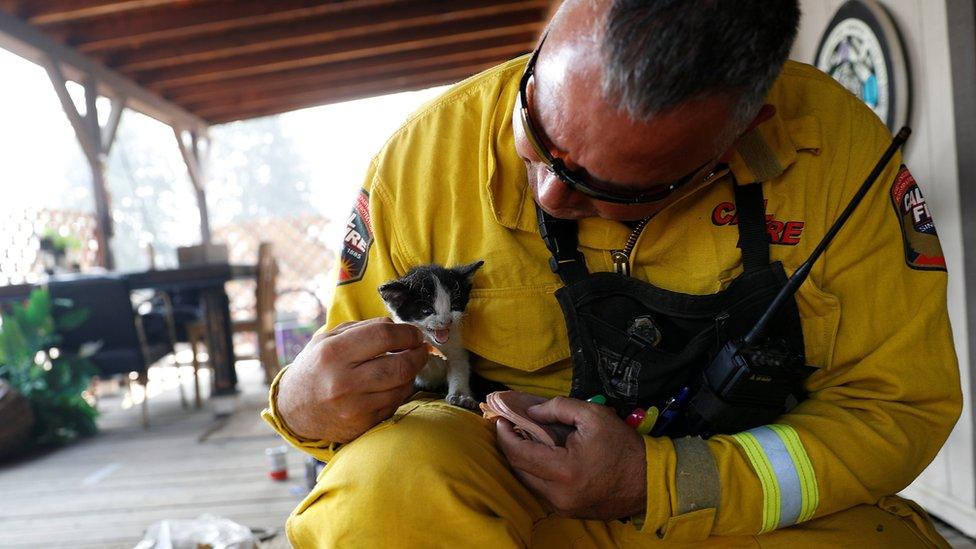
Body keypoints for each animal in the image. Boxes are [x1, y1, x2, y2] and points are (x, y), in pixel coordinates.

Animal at [382, 260, 488, 408]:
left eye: (454, 305)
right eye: (427, 310)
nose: (446, 321)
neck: (433, 342)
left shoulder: (457, 350)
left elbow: (459, 369)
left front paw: (461, 395)